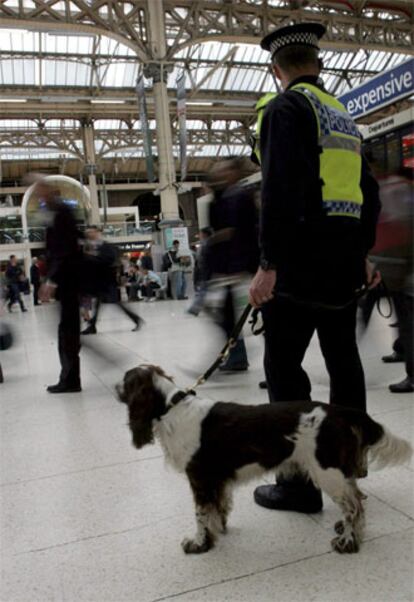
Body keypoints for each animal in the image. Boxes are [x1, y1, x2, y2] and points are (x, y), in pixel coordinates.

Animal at [116, 360, 410, 552]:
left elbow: (201, 514)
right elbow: (218, 509)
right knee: (357, 497)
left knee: (354, 506)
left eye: (126, 381)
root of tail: (340, 410)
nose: (114, 384)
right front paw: (218, 531)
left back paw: (347, 542)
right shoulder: (217, 480)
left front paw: (199, 543)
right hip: (338, 470)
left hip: (327, 471)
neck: (172, 407)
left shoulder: (200, 478)